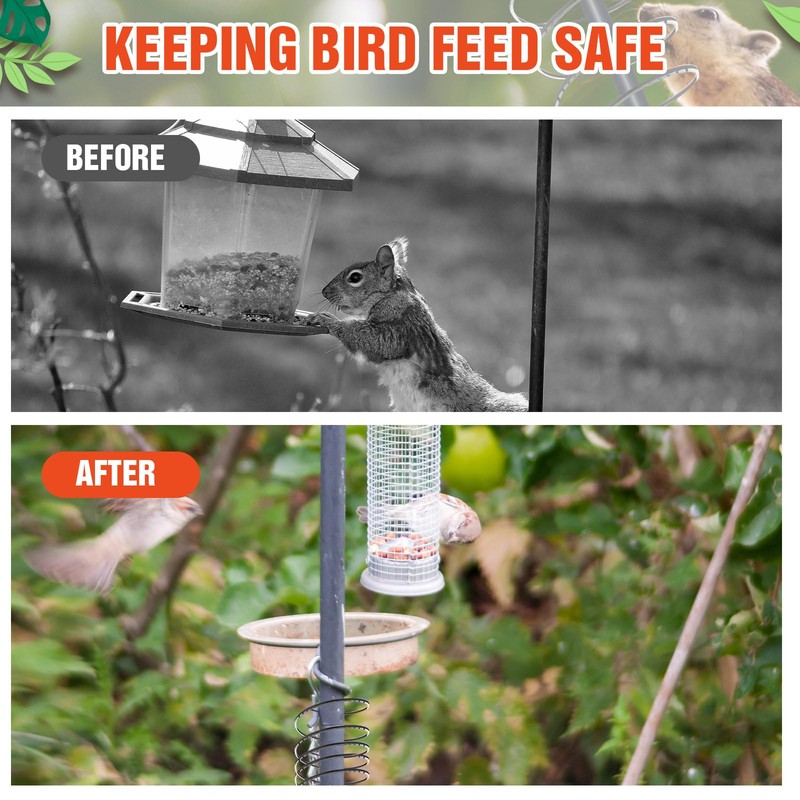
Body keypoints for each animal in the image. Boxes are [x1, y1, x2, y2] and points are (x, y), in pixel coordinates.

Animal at [311, 237, 528, 412]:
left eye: (355, 277)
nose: (324, 292)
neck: (391, 295)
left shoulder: (401, 328)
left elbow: (375, 342)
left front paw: (327, 320)